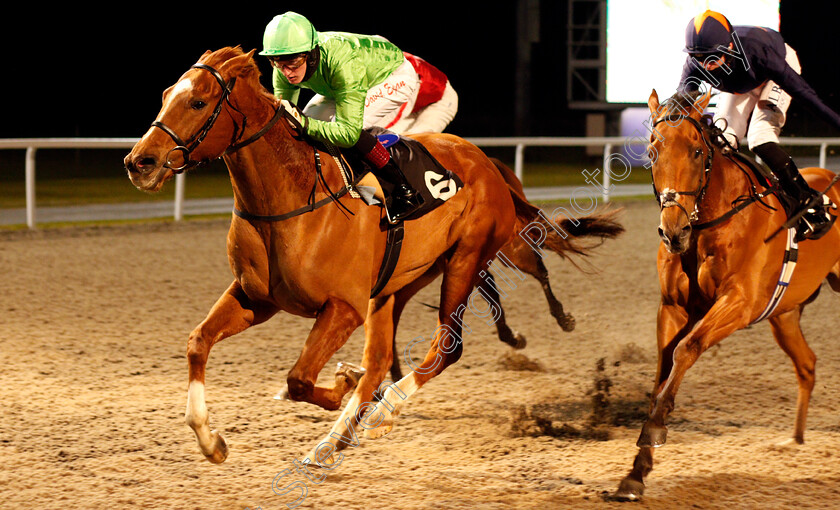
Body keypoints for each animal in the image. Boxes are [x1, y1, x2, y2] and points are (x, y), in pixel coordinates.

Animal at [124, 47, 596, 466]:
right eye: (166, 94)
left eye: (198, 101)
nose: (139, 162)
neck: (294, 199)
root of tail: (485, 162)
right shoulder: (255, 298)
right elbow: (198, 343)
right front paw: (211, 442)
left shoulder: (343, 308)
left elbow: (299, 379)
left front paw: (339, 384)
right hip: (399, 283)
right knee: (380, 360)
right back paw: (333, 441)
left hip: (465, 261)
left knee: (447, 349)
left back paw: (382, 412)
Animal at [612, 88, 840, 502]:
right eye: (652, 151)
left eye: (696, 151)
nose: (673, 231)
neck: (709, 223)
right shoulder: (673, 307)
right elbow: (663, 369)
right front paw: (636, 473)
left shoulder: (739, 304)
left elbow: (686, 350)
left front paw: (654, 430)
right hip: (784, 315)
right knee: (808, 364)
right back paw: (795, 440)